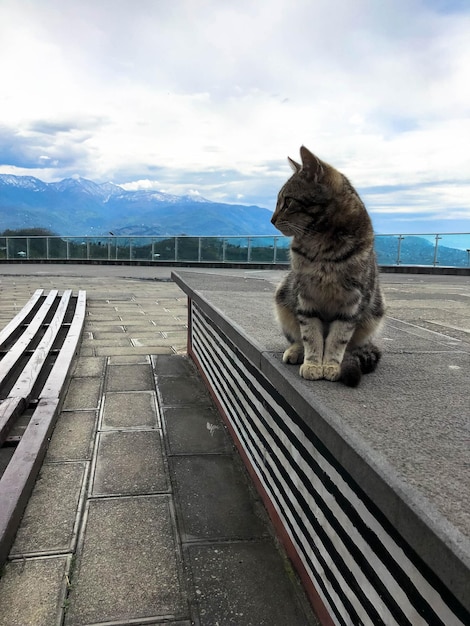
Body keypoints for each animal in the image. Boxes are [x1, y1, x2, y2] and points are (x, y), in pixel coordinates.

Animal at [272, 146, 386, 386]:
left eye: (288, 201)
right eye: (278, 201)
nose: (272, 219)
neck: (322, 244)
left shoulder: (352, 302)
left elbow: (338, 338)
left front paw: (331, 365)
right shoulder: (305, 298)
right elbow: (311, 336)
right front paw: (314, 363)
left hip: (375, 313)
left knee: (353, 347)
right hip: (283, 295)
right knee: (296, 337)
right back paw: (296, 351)